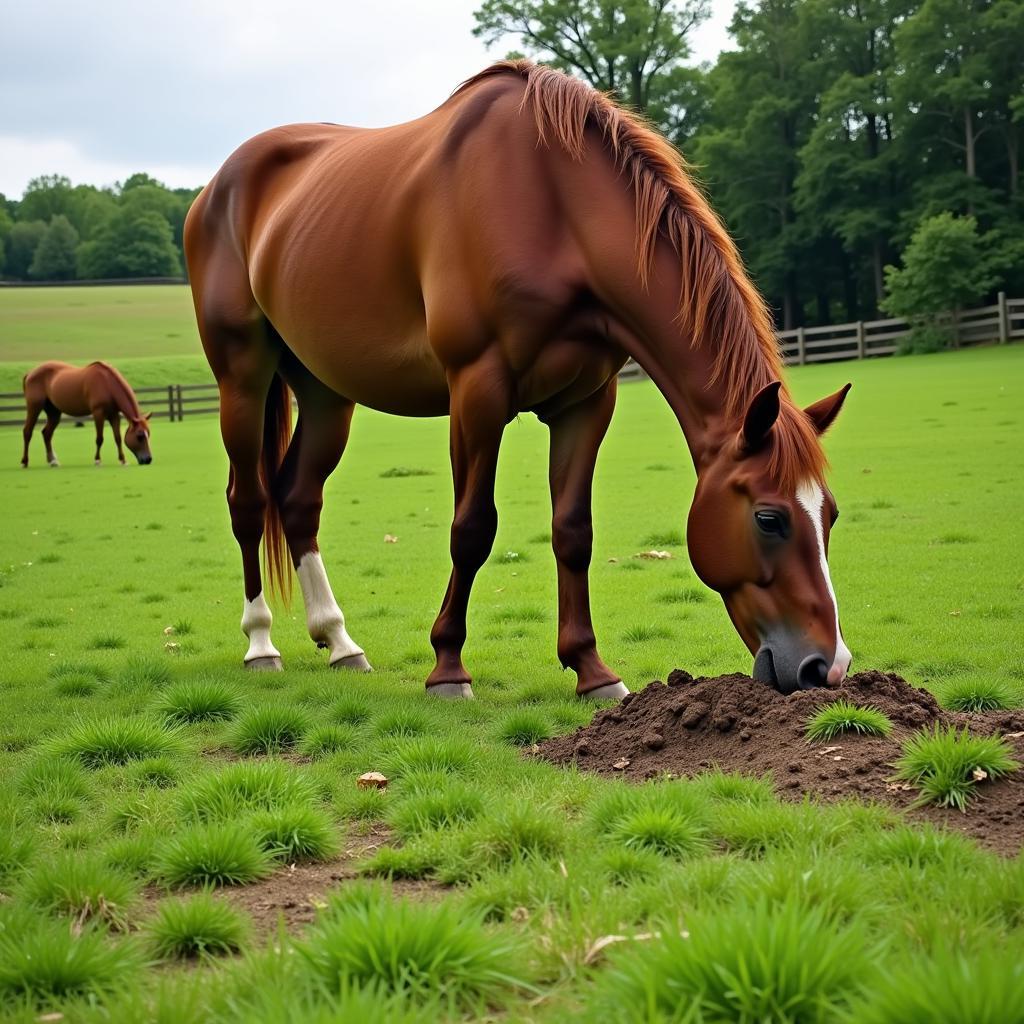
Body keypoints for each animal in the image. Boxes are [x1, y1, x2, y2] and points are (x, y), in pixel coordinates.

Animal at [21, 360, 151, 468]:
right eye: (139, 436)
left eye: (148, 434)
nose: (148, 459)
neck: (107, 383)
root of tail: (30, 373)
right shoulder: (98, 414)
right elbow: (99, 438)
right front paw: (97, 460)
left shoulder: (114, 415)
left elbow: (118, 438)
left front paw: (123, 460)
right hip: (34, 407)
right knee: (27, 431)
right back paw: (24, 462)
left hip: (54, 412)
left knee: (47, 434)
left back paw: (52, 461)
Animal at [186, 59, 856, 700]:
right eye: (769, 518)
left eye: (829, 515)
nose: (827, 666)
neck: (555, 208)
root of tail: (218, 186)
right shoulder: (477, 393)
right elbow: (472, 529)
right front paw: (448, 669)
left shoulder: (586, 403)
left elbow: (573, 531)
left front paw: (591, 669)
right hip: (242, 378)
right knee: (248, 502)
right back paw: (261, 644)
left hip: (327, 394)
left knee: (299, 500)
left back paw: (340, 642)